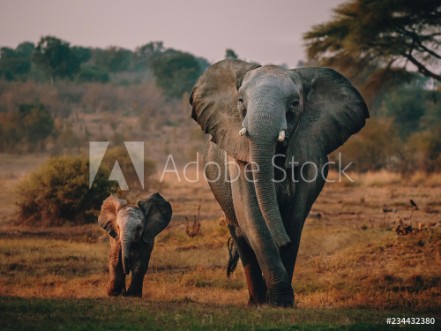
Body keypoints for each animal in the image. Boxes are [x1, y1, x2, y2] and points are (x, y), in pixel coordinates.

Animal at [189, 58, 368, 308]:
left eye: (294, 104)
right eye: (240, 101)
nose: (282, 240)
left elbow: (293, 218)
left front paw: (282, 302)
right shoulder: (238, 157)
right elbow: (252, 216)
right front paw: (277, 300)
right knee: (240, 231)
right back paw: (256, 301)